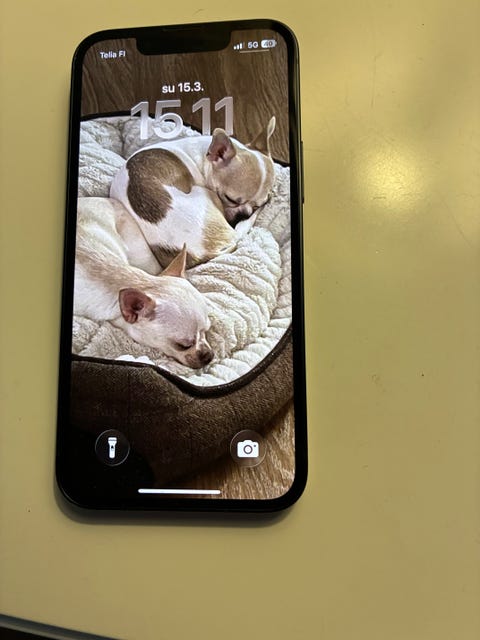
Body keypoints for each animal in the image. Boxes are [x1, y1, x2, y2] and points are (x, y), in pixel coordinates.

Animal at [110, 118, 276, 270]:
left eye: (258, 205)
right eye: (230, 199)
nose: (243, 215)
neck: (205, 158)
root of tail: (203, 254)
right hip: (205, 193)